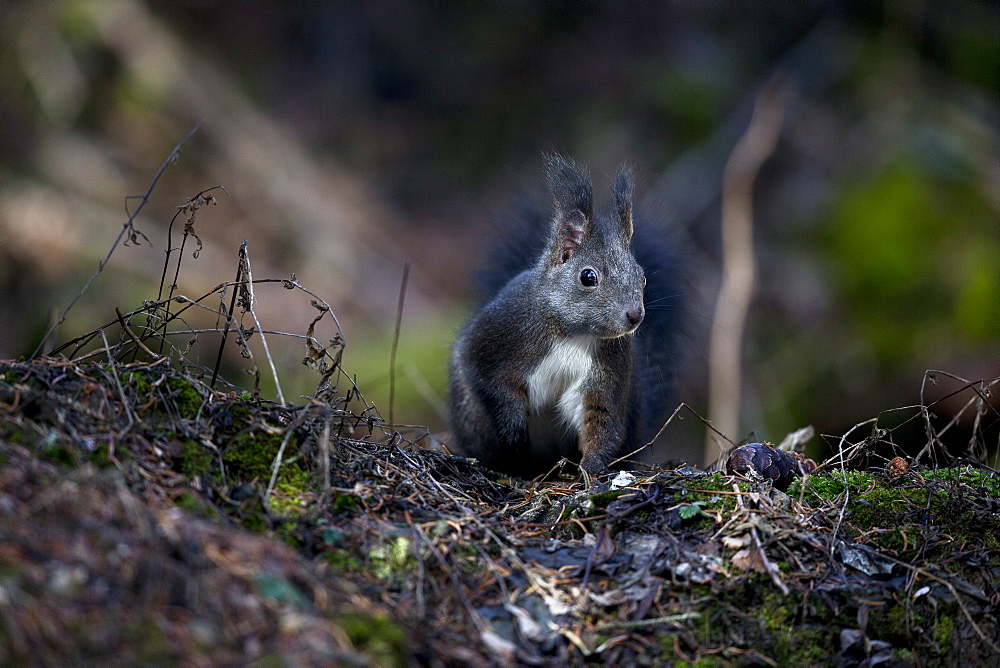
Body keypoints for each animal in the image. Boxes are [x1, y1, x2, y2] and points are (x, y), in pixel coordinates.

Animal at [450, 154, 684, 478]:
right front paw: (513, 427)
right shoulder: (501, 331)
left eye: (643, 277)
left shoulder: (607, 372)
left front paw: (593, 467)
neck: (574, 334)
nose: (635, 316)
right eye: (588, 277)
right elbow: (487, 376)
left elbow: (601, 418)